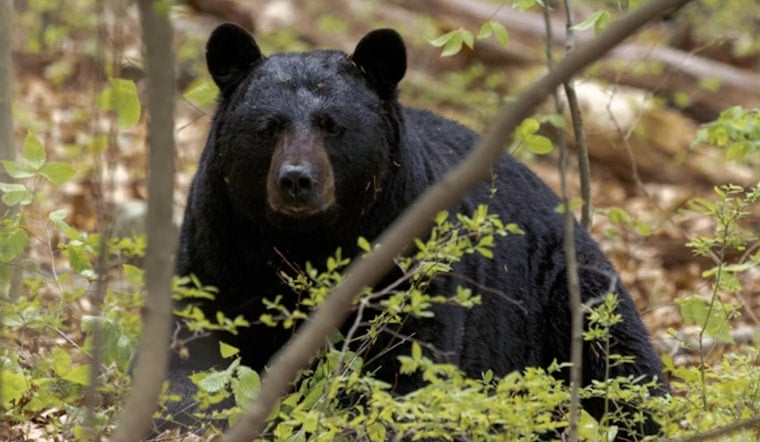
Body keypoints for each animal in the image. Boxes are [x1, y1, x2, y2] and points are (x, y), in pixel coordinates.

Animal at [166, 22, 665, 438]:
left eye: (333, 126)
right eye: (268, 127)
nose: (296, 180)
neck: (307, 241)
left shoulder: (408, 253)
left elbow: (410, 362)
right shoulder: (220, 245)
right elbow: (195, 349)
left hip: (565, 289)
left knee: (622, 363)